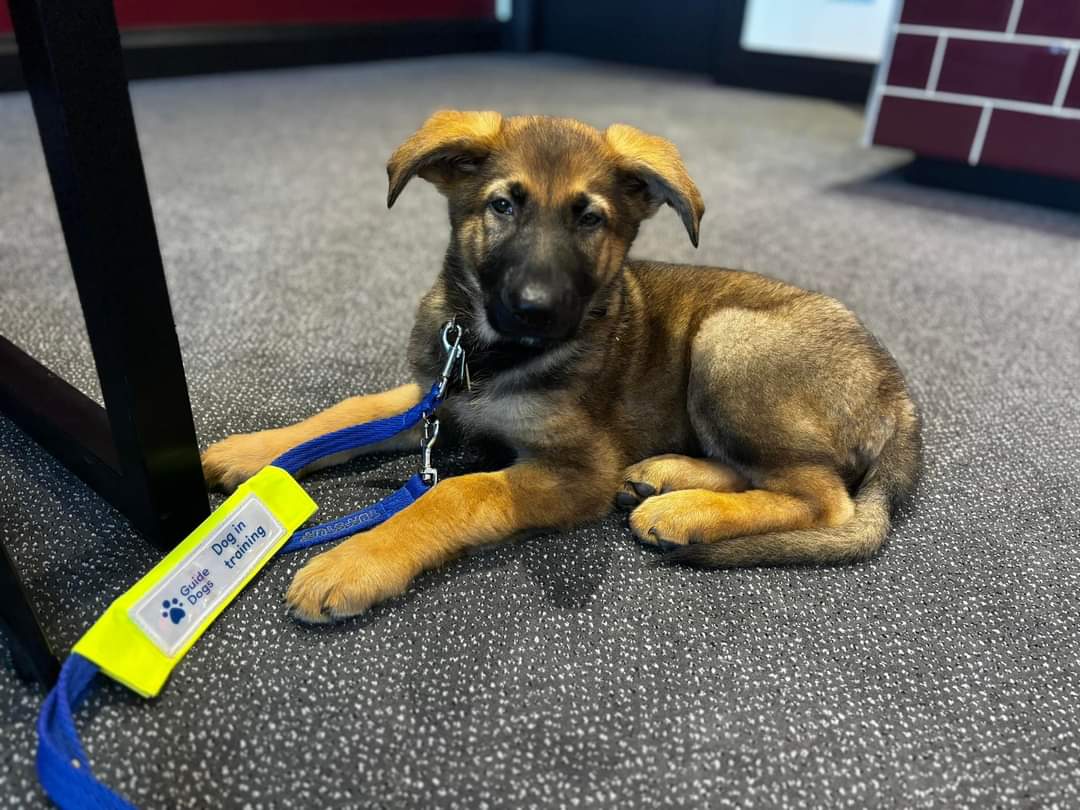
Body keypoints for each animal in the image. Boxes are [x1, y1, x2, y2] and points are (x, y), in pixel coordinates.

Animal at [200, 111, 920, 626]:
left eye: (589, 218)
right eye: (503, 205)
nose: (535, 308)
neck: (490, 355)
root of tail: (901, 396)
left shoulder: (577, 471)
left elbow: (455, 492)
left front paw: (355, 561)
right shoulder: (438, 399)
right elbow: (346, 414)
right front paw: (254, 454)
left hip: (729, 339)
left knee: (819, 497)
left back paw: (685, 511)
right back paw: (665, 477)